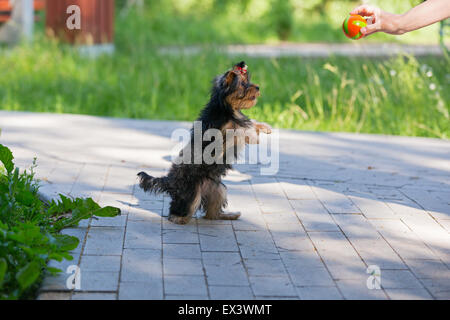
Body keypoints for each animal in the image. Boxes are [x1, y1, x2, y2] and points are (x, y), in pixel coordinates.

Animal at [137, 61, 270, 224]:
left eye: (249, 81)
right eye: (244, 84)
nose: (258, 87)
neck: (226, 108)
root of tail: (171, 181)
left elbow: (250, 123)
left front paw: (265, 127)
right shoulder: (223, 133)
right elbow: (242, 130)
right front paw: (253, 133)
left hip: (217, 188)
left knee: (212, 212)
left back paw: (228, 215)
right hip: (191, 191)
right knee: (183, 207)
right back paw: (179, 218)